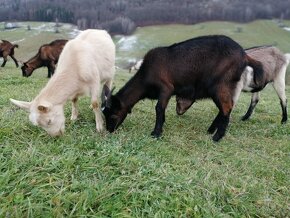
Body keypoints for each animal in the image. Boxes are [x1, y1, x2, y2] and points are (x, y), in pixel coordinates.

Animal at [102, 35, 262, 141]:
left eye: (114, 115)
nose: (109, 130)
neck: (146, 75)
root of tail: (244, 55)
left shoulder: (166, 88)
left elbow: (159, 108)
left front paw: (156, 133)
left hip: (219, 84)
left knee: (226, 107)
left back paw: (217, 137)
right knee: (224, 108)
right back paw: (211, 130)